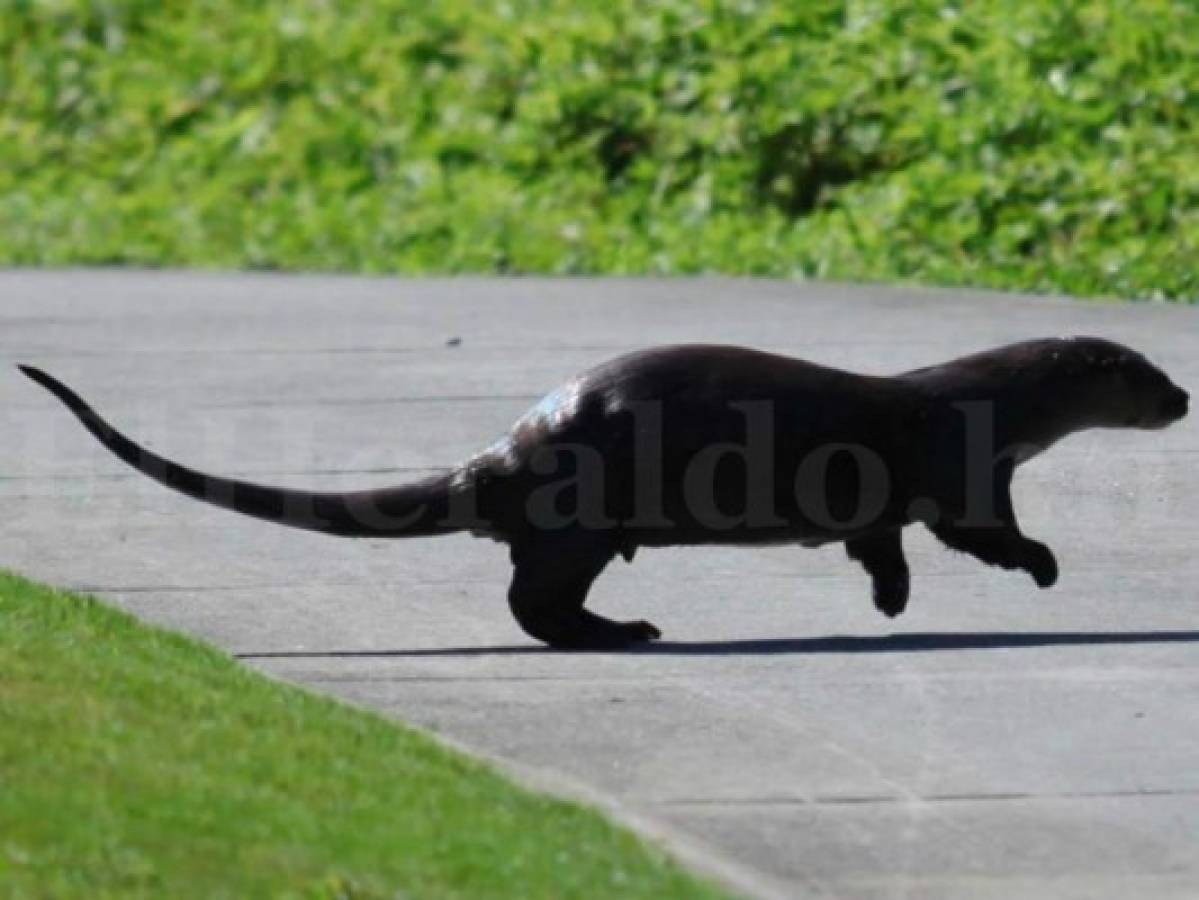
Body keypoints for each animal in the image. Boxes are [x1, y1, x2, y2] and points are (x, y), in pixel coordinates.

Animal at [18, 335, 1189, 647]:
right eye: (1142, 372)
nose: (1183, 396)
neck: (986, 399)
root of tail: (505, 453)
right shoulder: (961, 465)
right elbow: (979, 534)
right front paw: (1044, 569)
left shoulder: (887, 502)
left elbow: (880, 544)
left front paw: (891, 604)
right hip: (580, 520)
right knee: (532, 603)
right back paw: (629, 630)